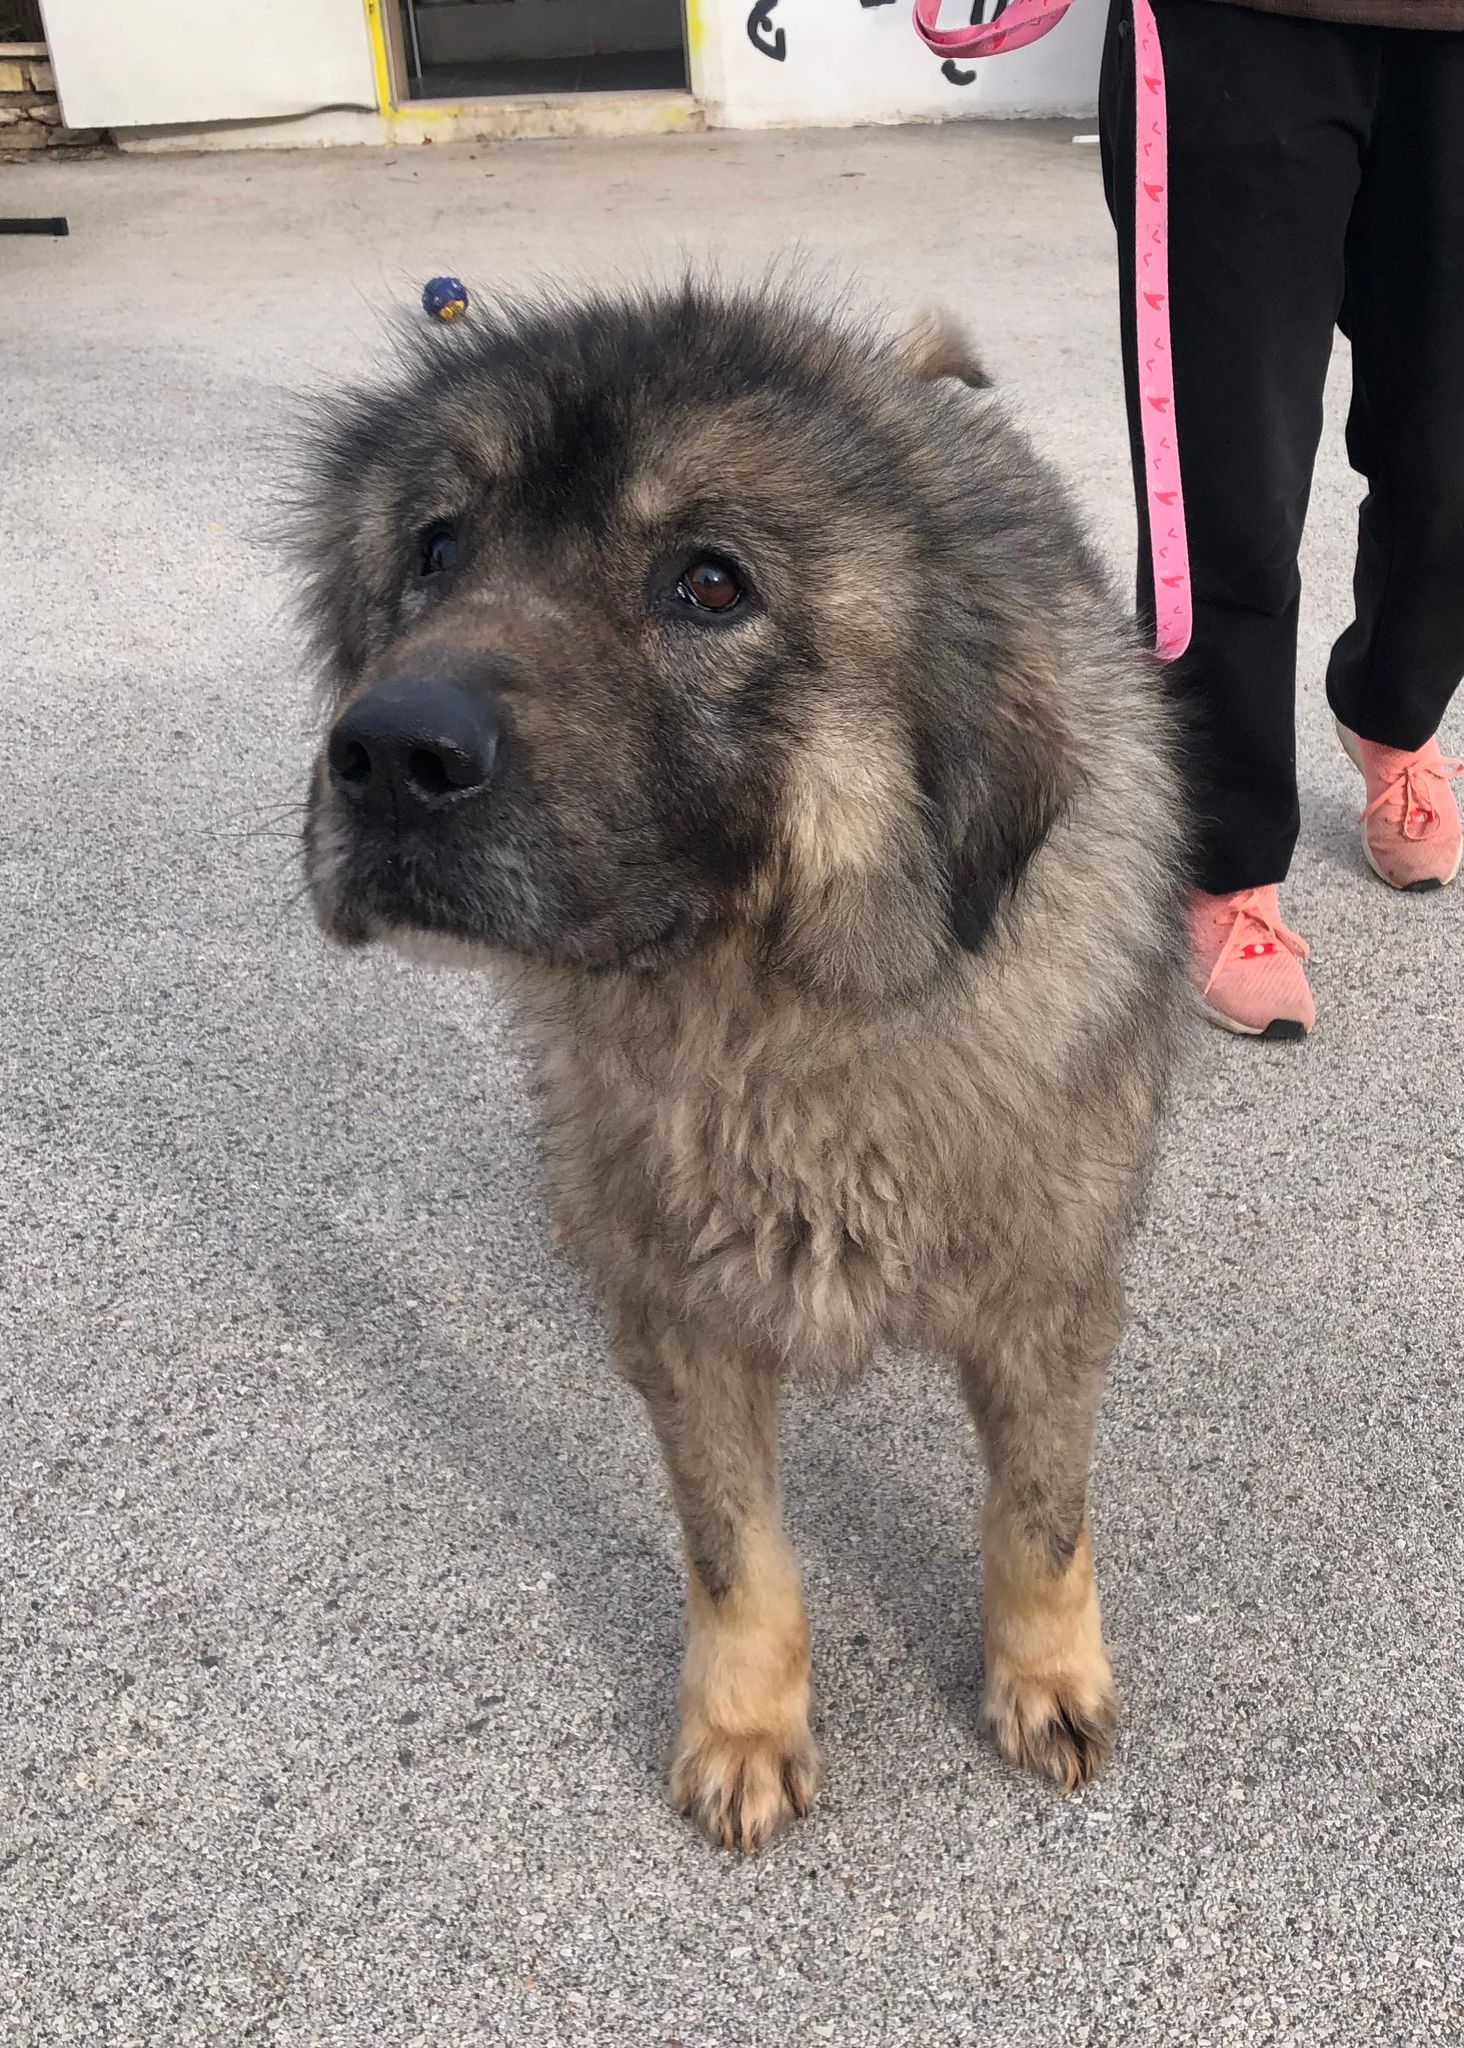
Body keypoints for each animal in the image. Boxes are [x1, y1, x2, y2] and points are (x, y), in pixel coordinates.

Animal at [295, 284, 1182, 1852]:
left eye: (710, 585)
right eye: (437, 548)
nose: (390, 753)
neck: (789, 1029)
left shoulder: (1045, 1302)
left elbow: (1038, 1517)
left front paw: (1047, 1675)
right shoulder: (684, 1319)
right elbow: (735, 1554)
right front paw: (747, 1723)